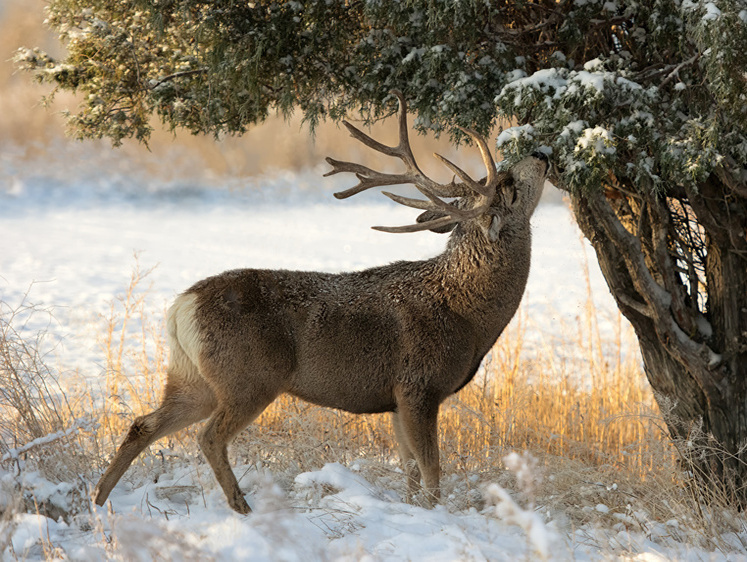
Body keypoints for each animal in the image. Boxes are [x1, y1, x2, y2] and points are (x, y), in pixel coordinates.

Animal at [93, 91, 548, 512]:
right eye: (507, 185)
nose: (541, 152)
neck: (466, 312)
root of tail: (181, 307)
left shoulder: (395, 399)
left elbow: (411, 471)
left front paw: (413, 509)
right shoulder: (419, 384)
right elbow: (432, 469)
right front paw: (436, 515)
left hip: (192, 377)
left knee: (143, 424)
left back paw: (99, 501)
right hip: (250, 376)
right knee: (208, 436)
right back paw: (242, 508)